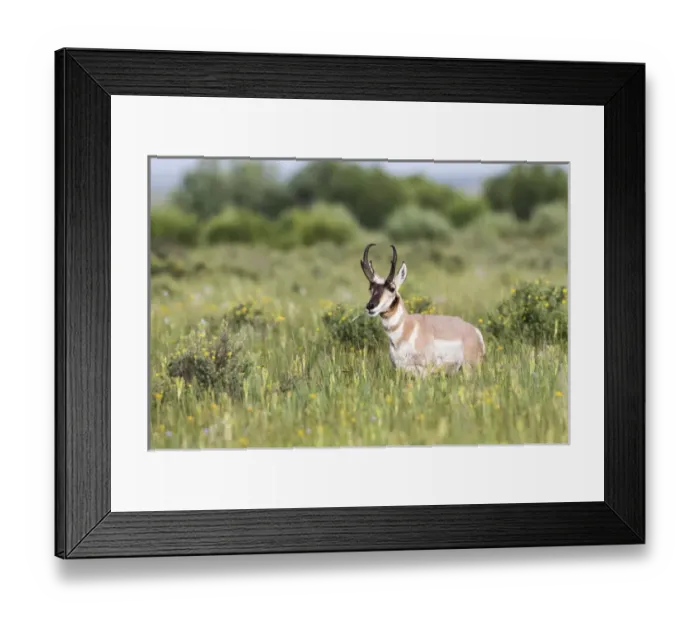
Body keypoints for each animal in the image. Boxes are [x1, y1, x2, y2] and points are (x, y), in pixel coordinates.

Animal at [360, 243, 485, 377]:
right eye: (371, 288)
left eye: (392, 288)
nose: (370, 306)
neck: (407, 329)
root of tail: (475, 331)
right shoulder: (400, 369)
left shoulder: (424, 371)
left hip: (469, 369)